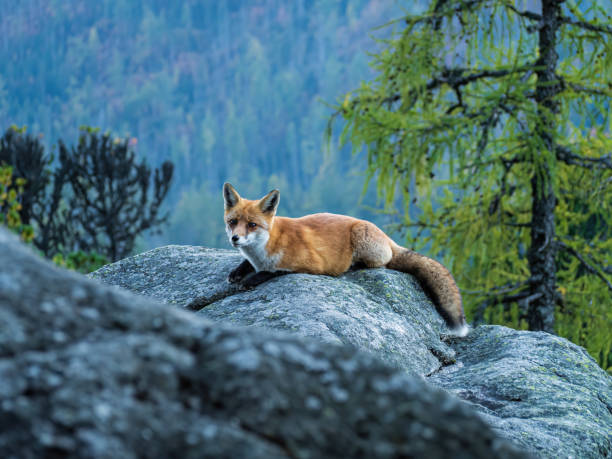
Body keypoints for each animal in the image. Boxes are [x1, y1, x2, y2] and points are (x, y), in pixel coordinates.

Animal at [225, 183, 468, 338]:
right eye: (233, 222)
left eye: (252, 225)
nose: (235, 239)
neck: (263, 249)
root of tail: (385, 235)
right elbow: (246, 265)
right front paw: (238, 271)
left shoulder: (309, 264)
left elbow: (272, 270)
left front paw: (250, 279)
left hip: (362, 238)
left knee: (382, 263)